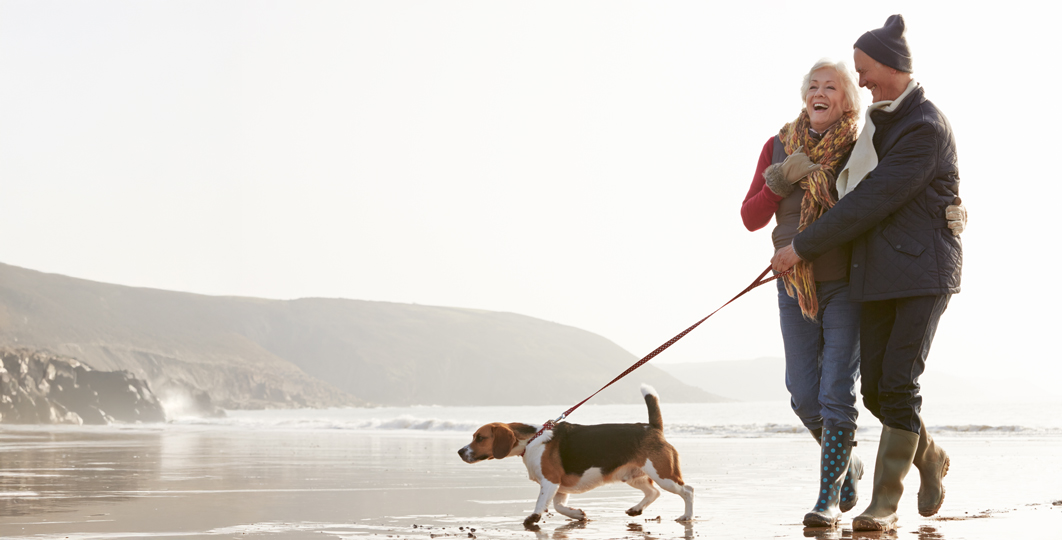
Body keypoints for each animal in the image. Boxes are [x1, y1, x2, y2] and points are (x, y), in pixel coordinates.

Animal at [454, 384, 688, 527]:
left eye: (480, 438)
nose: (459, 452)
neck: (531, 440)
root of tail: (653, 428)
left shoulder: (550, 481)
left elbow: (541, 502)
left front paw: (533, 517)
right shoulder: (558, 486)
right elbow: (558, 506)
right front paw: (577, 514)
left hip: (663, 474)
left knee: (687, 491)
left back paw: (686, 516)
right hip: (633, 475)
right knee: (653, 493)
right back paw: (636, 509)